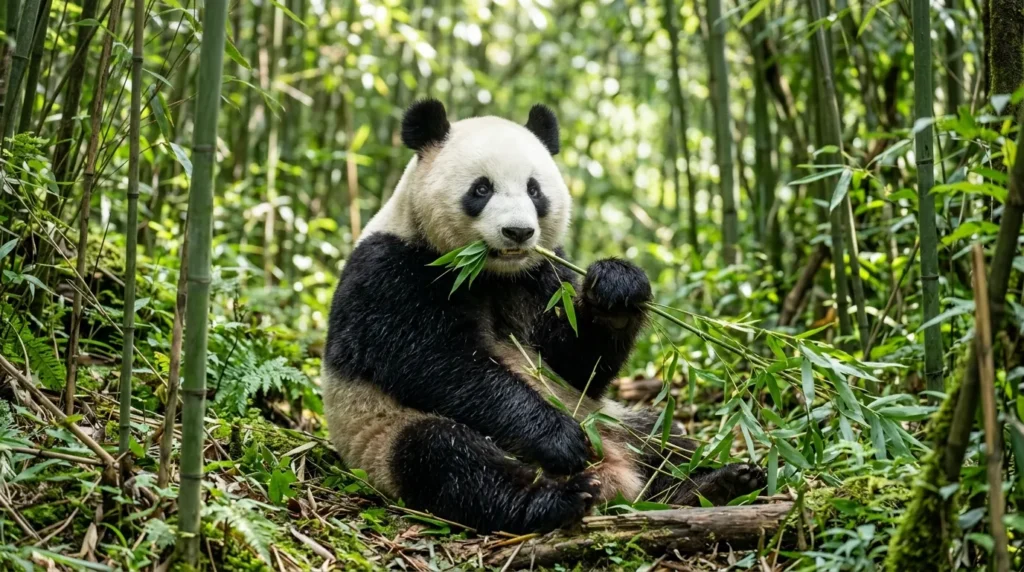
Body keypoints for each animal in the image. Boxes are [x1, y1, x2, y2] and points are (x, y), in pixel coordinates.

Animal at [321, 100, 765, 534]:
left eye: (534, 190)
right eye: (481, 188)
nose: (518, 232)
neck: (488, 272)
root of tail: (616, 476)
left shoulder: (542, 275)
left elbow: (576, 364)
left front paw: (617, 287)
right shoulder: (391, 270)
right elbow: (434, 361)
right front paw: (558, 439)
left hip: (612, 419)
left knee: (665, 436)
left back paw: (711, 484)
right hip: (385, 434)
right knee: (448, 459)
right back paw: (557, 498)